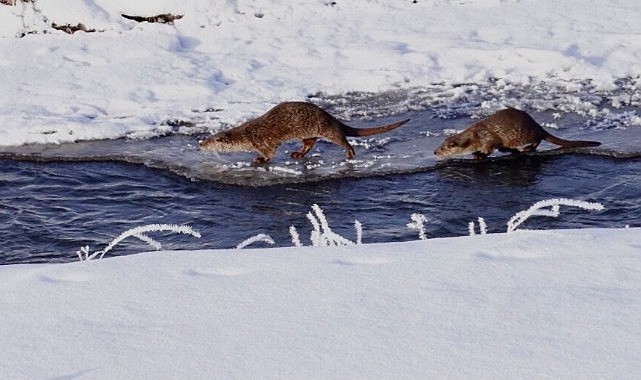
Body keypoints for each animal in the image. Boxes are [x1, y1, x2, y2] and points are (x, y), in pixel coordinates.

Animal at [200, 101, 410, 163]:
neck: (247, 134)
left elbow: (269, 152)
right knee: (310, 143)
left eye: (209, 141)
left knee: (342, 139)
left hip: (326, 129)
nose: (200, 144)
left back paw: (350, 154)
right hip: (308, 133)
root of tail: (331, 117)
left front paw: (260, 159)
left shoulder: (263, 140)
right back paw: (297, 154)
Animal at [436, 108, 600, 159]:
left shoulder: (487, 138)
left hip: (525, 134)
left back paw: (528, 148)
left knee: (538, 139)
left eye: (444, 148)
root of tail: (536, 124)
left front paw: (479, 155)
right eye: (439, 145)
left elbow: (489, 148)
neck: (474, 136)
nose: (434, 152)